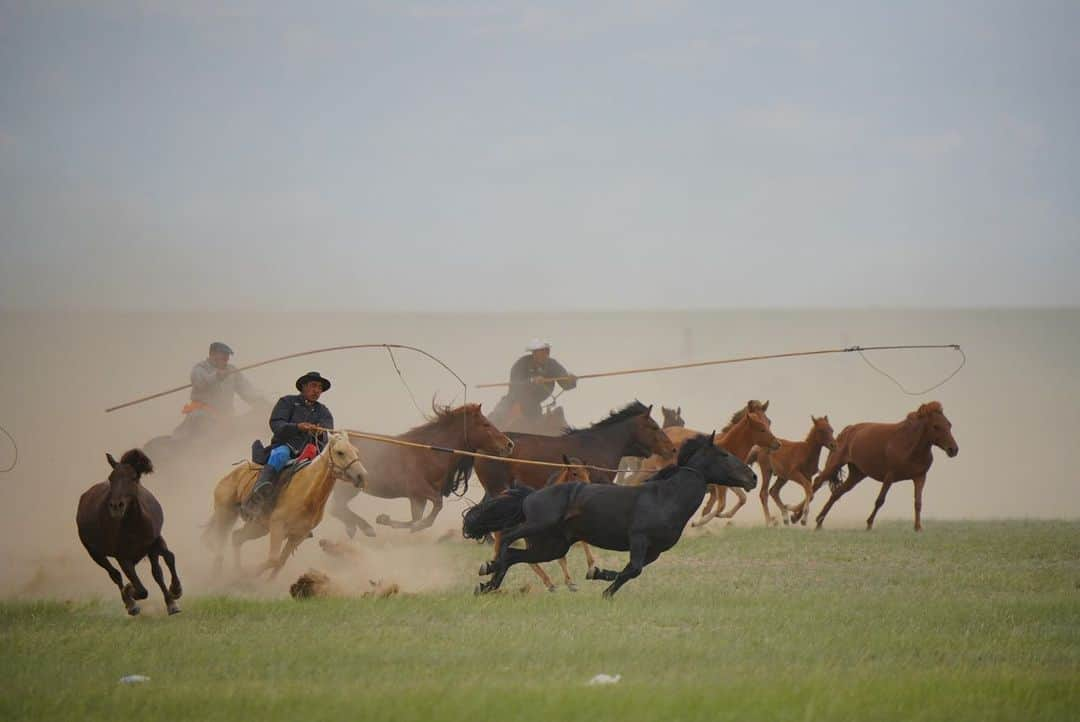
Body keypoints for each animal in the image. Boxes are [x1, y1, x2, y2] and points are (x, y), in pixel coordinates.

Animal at [76, 451, 181, 612]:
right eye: (111, 478)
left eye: (133, 478)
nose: (115, 506)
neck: (134, 526)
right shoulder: (123, 557)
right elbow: (142, 590)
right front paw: (129, 592)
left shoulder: (154, 542)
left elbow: (169, 558)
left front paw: (175, 592)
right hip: (94, 553)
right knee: (115, 574)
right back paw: (130, 603)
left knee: (156, 572)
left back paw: (169, 601)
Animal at [204, 431, 369, 578]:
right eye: (340, 452)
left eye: (356, 451)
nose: (362, 476)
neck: (308, 496)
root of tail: (232, 475)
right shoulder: (278, 527)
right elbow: (274, 559)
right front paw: (250, 576)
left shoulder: (298, 536)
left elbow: (280, 563)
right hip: (225, 514)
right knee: (221, 540)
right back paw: (217, 573)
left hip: (258, 527)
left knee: (236, 537)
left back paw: (237, 572)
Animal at [328, 399, 514, 535]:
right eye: (485, 424)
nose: (509, 444)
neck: (428, 454)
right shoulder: (418, 489)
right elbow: (437, 505)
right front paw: (413, 526)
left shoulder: (417, 498)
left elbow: (415, 518)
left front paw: (387, 520)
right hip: (347, 486)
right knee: (336, 508)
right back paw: (364, 528)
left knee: (337, 509)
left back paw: (354, 527)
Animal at [460, 433, 756, 595]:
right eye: (724, 454)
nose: (752, 477)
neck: (666, 497)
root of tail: (530, 495)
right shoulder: (639, 539)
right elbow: (633, 569)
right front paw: (605, 589)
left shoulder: (655, 550)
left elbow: (630, 571)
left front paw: (598, 575)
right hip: (538, 526)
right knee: (508, 539)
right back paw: (490, 568)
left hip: (551, 546)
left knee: (515, 555)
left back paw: (487, 585)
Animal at [807, 403, 959, 533]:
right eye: (936, 426)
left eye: (949, 425)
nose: (953, 449)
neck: (909, 444)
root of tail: (847, 430)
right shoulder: (890, 475)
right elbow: (880, 500)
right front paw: (869, 524)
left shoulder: (920, 477)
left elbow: (918, 502)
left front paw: (918, 528)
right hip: (834, 464)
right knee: (817, 482)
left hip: (857, 474)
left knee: (837, 493)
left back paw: (819, 522)